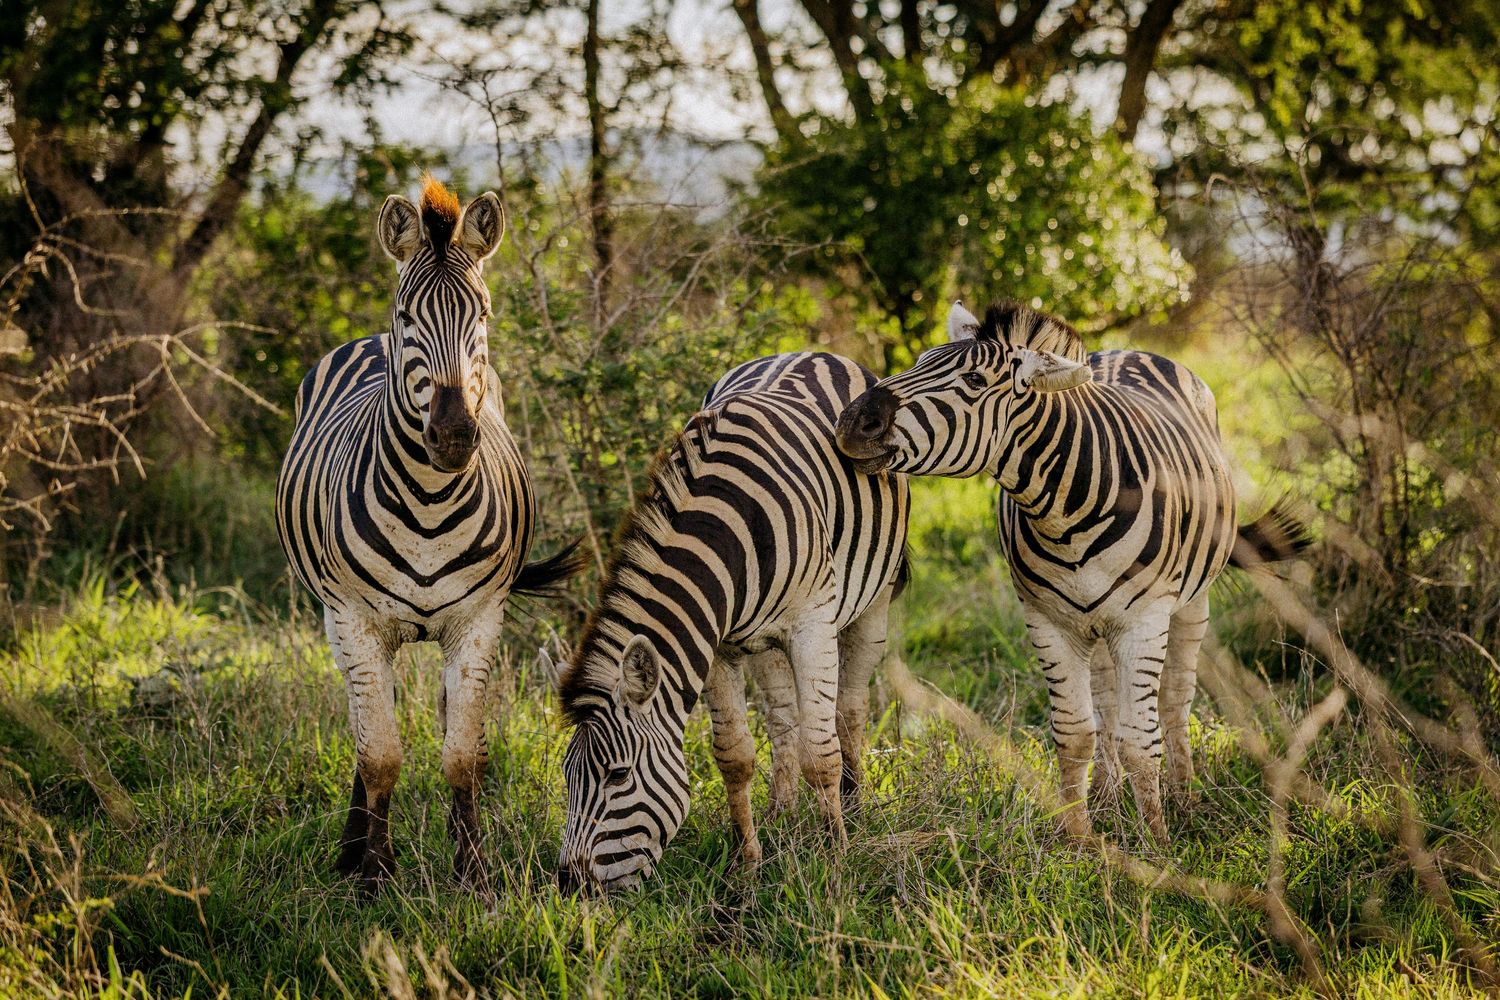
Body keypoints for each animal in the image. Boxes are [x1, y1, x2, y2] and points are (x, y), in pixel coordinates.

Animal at [276, 176, 578, 893]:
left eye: (484, 316)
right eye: (408, 318)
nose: (454, 436)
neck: (430, 508)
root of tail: (360, 338)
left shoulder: (479, 620)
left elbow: (462, 754)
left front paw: (473, 870)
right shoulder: (355, 621)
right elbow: (380, 753)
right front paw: (373, 873)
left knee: (439, 721)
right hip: (340, 624)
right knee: (364, 725)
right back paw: (350, 847)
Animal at [544, 352, 909, 892]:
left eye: (618, 775)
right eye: (568, 777)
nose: (570, 884)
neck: (727, 527)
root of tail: (811, 352)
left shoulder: (812, 627)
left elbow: (820, 754)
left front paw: (837, 864)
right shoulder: (714, 644)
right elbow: (734, 756)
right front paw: (748, 865)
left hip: (873, 599)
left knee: (849, 710)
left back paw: (855, 808)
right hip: (763, 639)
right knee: (782, 719)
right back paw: (781, 814)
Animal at [834, 300, 1303, 843]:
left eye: (973, 380)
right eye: (919, 361)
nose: (851, 423)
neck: (1065, 514)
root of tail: (1125, 349)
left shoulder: (1144, 621)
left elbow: (1141, 740)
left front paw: (1157, 843)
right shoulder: (1048, 620)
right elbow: (1076, 732)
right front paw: (1078, 839)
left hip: (1191, 603)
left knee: (1174, 700)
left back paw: (1184, 798)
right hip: (1091, 622)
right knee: (1106, 701)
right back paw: (1104, 795)